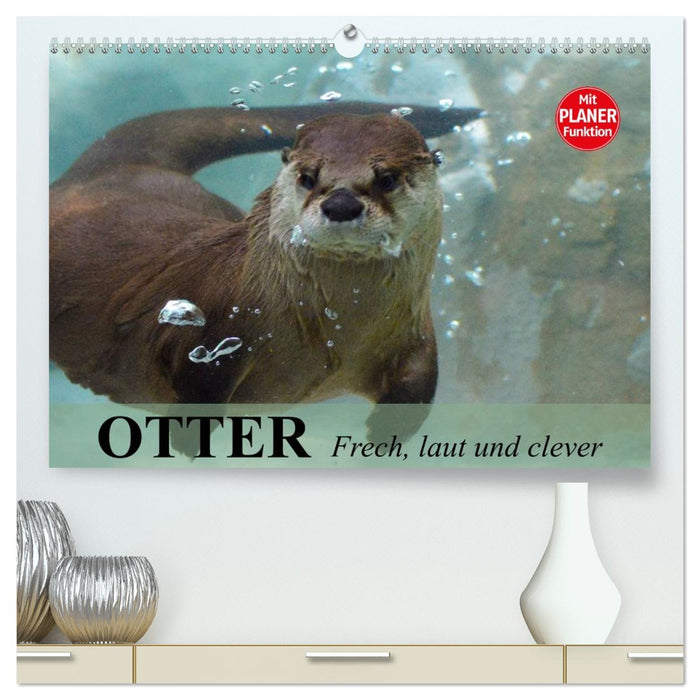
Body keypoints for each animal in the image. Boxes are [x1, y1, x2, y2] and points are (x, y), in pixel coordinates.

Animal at [50, 103, 482, 439]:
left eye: (387, 178)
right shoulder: (216, 331)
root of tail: (105, 172)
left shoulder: (414, 334)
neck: (338, 331)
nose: (341, 204)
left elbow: (418, 388)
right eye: (308, 177)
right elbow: (197, 384)